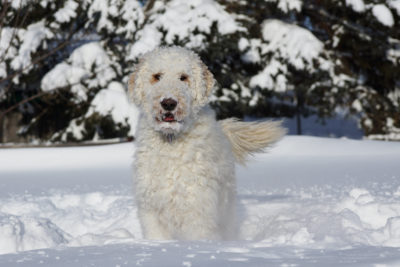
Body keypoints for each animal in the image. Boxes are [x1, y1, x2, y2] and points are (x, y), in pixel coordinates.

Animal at [129, 47, 284, 242]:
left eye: (183, 77)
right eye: (157, 76)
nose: (169, 103)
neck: (172, 141)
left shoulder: (198, 210)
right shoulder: (151, 210)